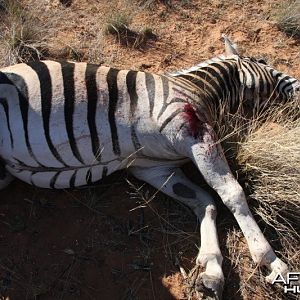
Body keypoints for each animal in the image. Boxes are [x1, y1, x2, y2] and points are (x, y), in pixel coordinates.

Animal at [0, 36, 298, 298]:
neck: (199, 88)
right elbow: (231, 192)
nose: (298, 87)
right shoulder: (196, 134)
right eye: (262, 61)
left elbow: (205, 201)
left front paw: (212, 270)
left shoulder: (152, 168)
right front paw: (272, 262)